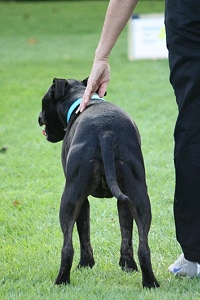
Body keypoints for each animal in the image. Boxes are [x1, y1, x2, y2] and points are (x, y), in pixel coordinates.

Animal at [38, 77, 159, 288]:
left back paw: (61, 281)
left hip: (70, 199)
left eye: (44, 103)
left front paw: (86, 264)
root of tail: (106, 132)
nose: (38, 118)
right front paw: (127, 265)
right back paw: (150, 282)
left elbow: (83, 233)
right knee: (144, 246)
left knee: (67, 246)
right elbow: (126, 232)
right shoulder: (122, 200)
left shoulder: (83, 200)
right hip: (138, 196)